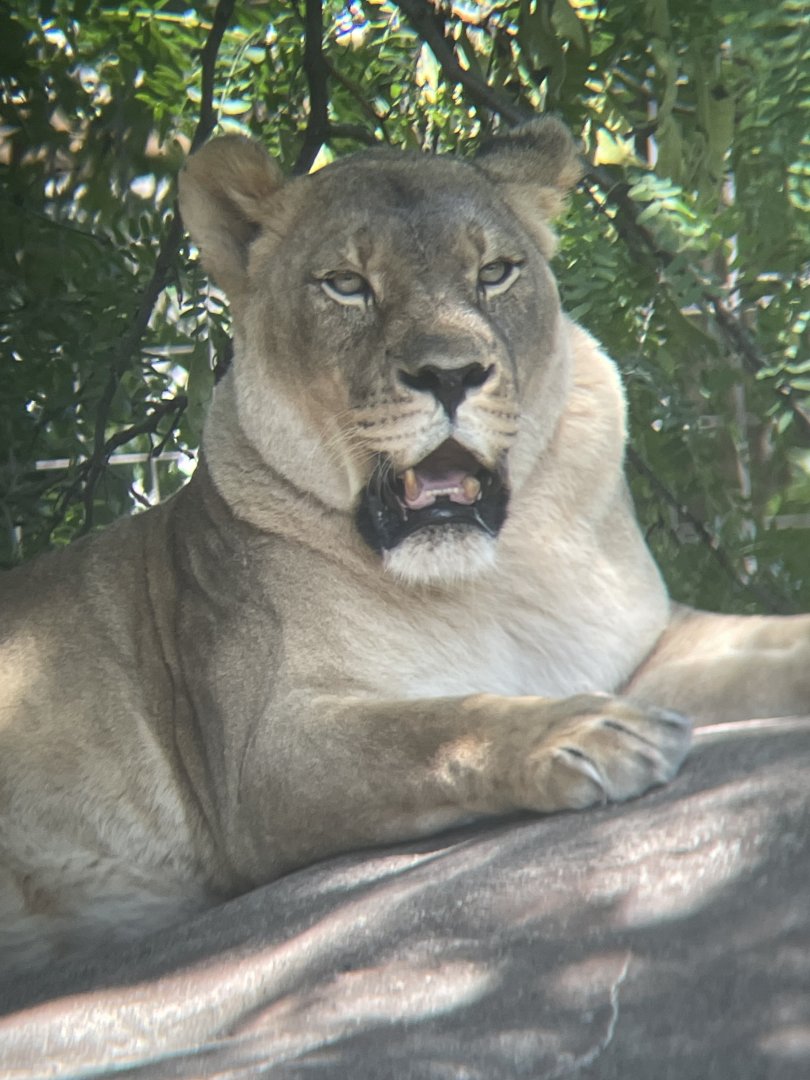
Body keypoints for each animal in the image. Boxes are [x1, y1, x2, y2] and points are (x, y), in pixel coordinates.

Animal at [1, 117, 808, 971]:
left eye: (494, 272)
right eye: (346, 284)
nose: (451, 375)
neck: (491, 580)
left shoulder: (643, 647)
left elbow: (766, 647)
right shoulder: (263, 754)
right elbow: (437, 728)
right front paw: (580, 731)